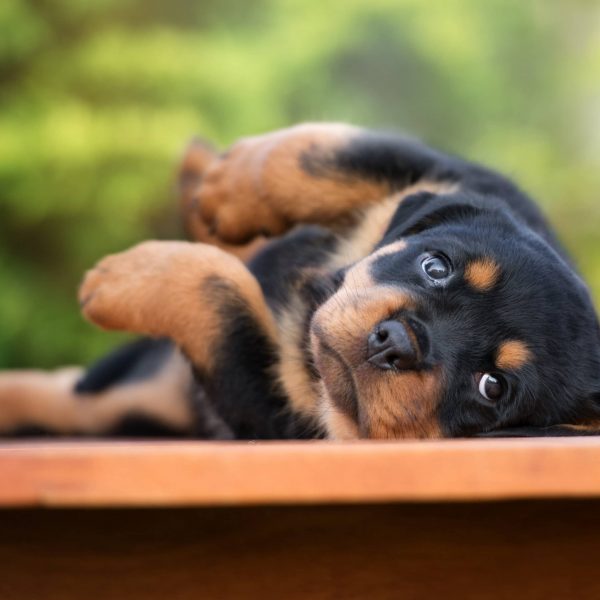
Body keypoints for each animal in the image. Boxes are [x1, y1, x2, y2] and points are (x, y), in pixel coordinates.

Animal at [1, 124, 600, 438]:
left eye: (492, 387)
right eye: (435, 266)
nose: (396, 343)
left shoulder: (263, 403)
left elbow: (223, 297)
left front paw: (125, 278)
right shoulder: (458, 178)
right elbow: (325, 153)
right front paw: (228, 187)